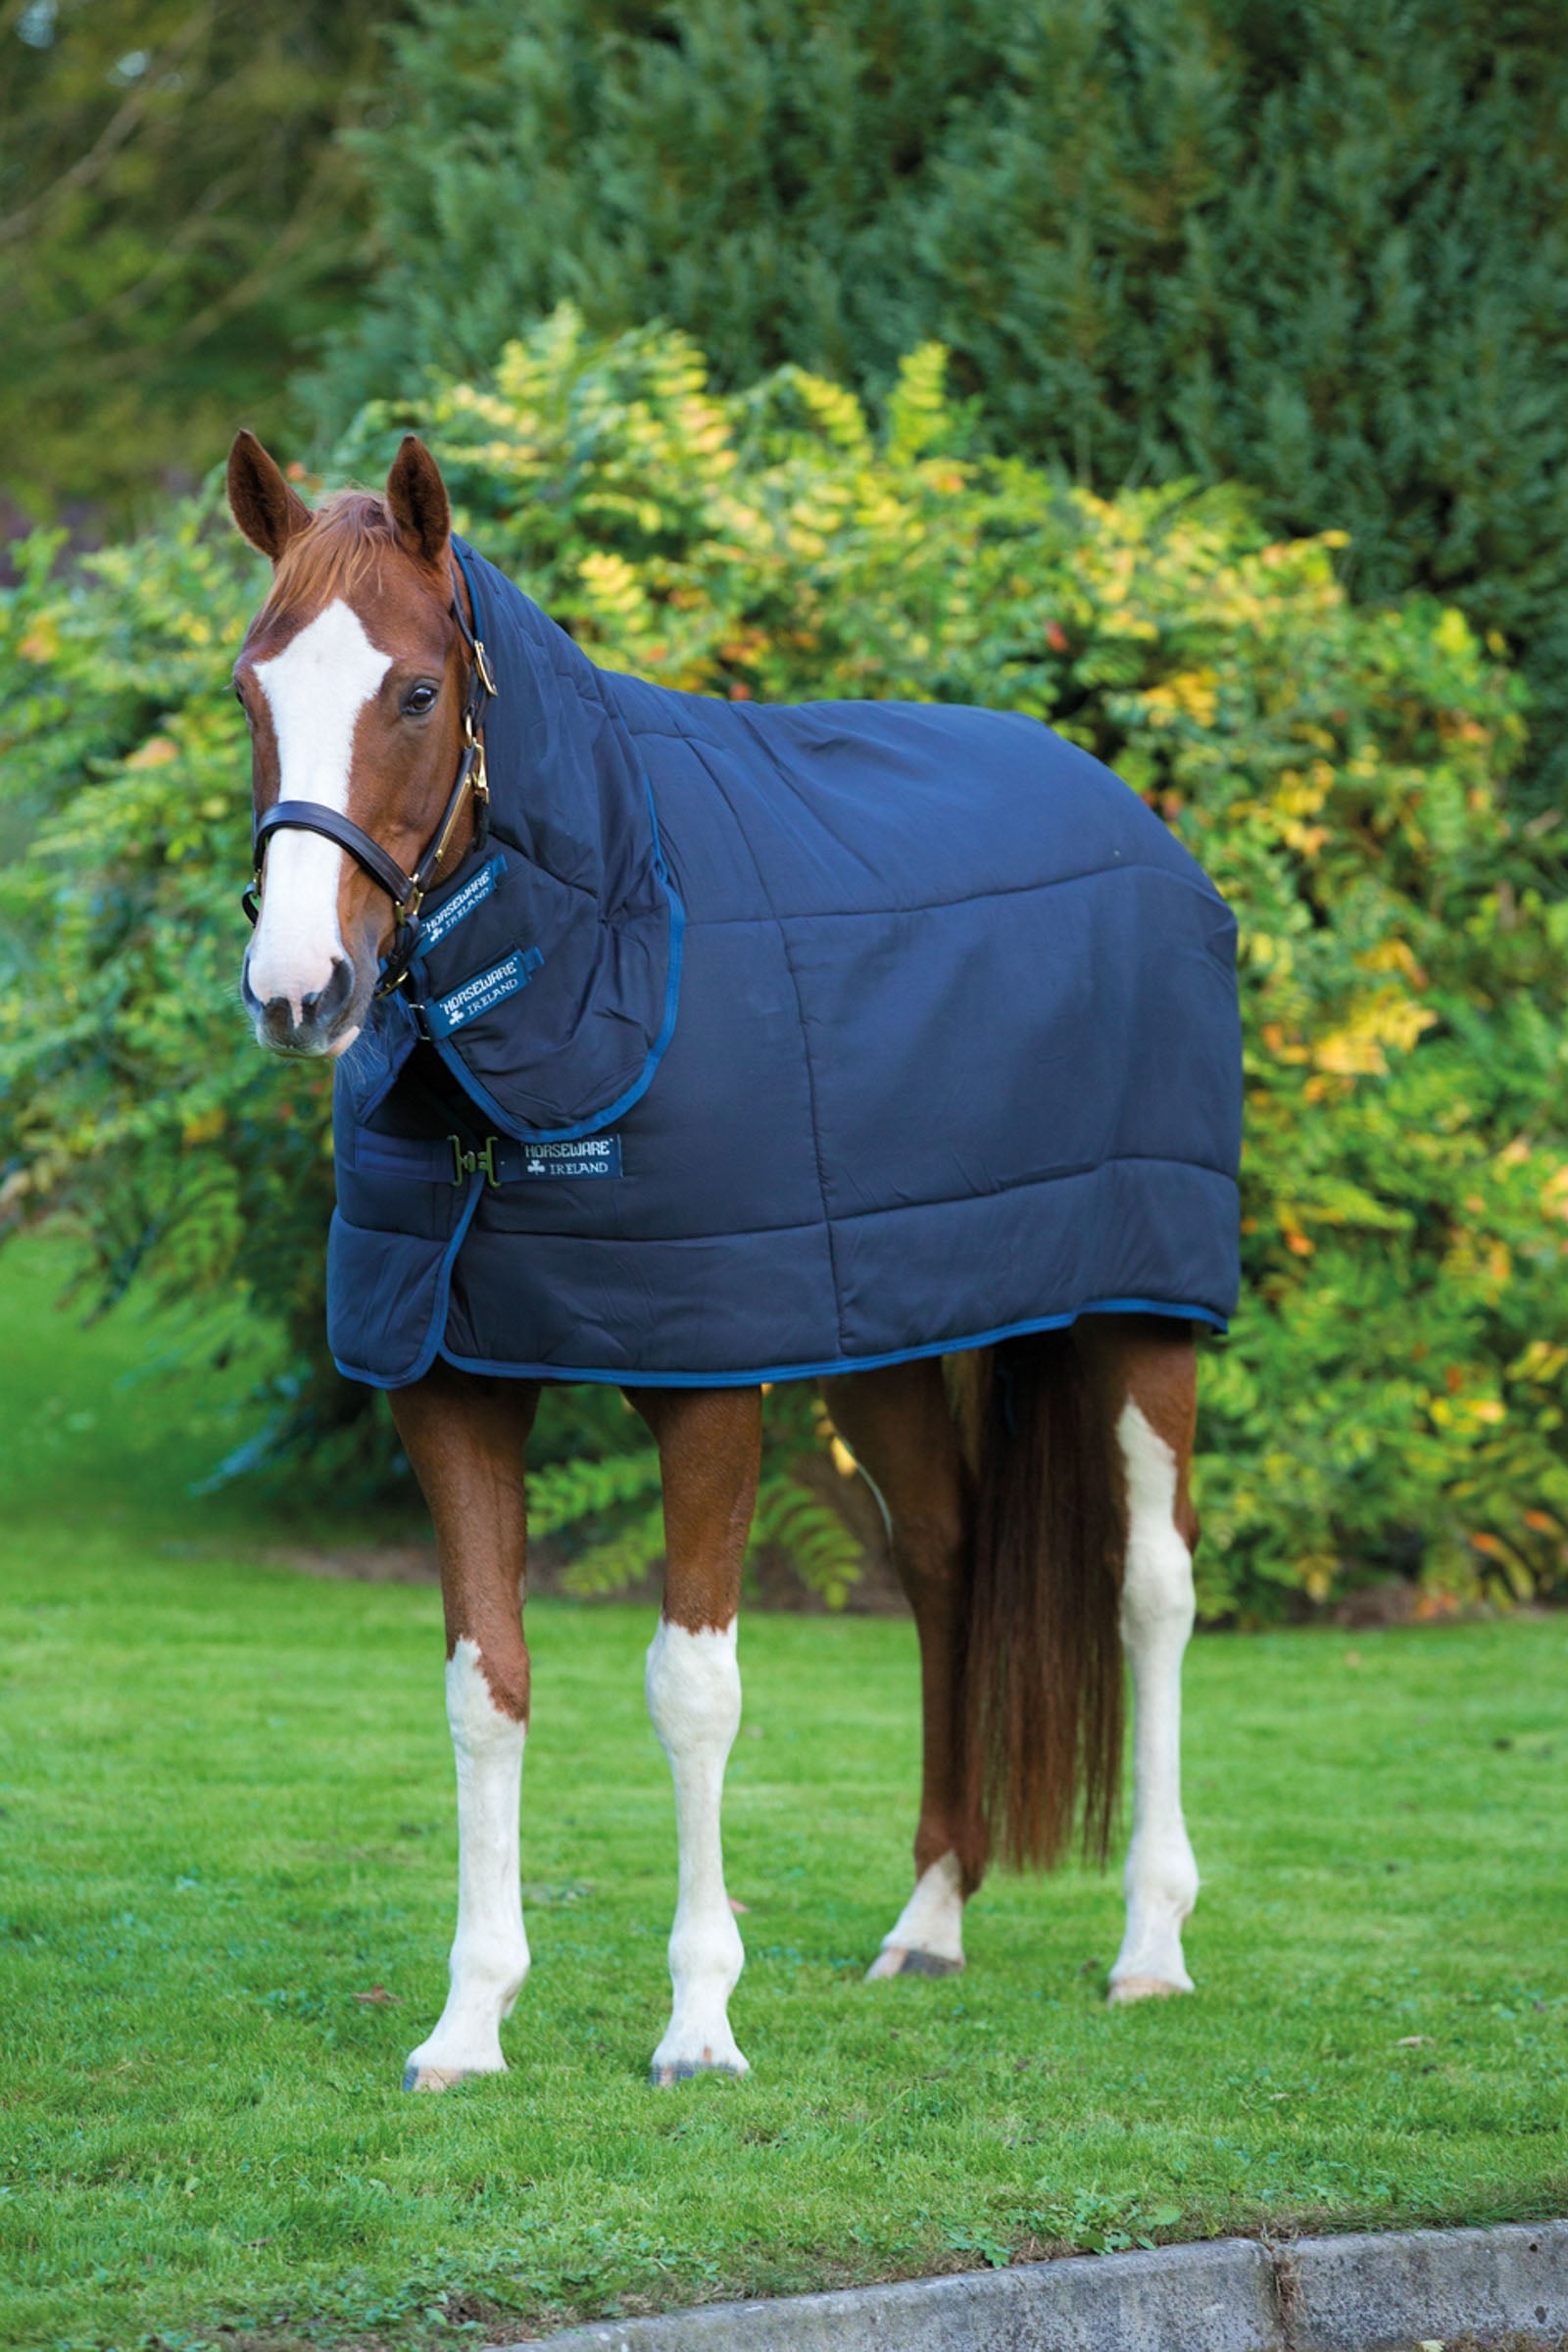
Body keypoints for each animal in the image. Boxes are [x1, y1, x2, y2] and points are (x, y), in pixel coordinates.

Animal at [225, 427, 1241, 2091]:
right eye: (254, 691)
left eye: (418, 694)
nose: (299, 991)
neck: (600, 947)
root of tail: (1131, 817)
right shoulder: (450, 1379)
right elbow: (485, 1690)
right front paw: (468, 2022)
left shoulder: (705, 1383)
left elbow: (692, 1692)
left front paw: (699, 2023)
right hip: (881, 1332)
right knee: (946, 1556)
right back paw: (931, 1918)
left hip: (1141, 1314)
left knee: (1151, 1590)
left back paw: (1150, 1943)